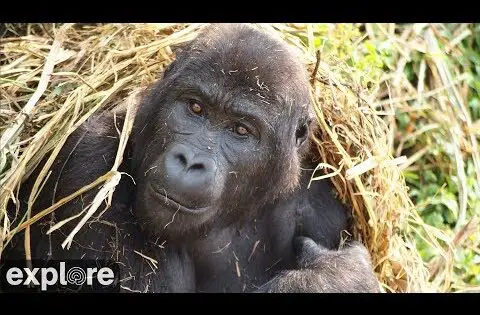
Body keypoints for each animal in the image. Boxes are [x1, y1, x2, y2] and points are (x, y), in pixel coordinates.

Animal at [2, 24, 378, 294]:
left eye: (240, 130)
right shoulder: (89, 162)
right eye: (195, 108)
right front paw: (342, 277)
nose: (190, 160)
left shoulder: (321, 205)